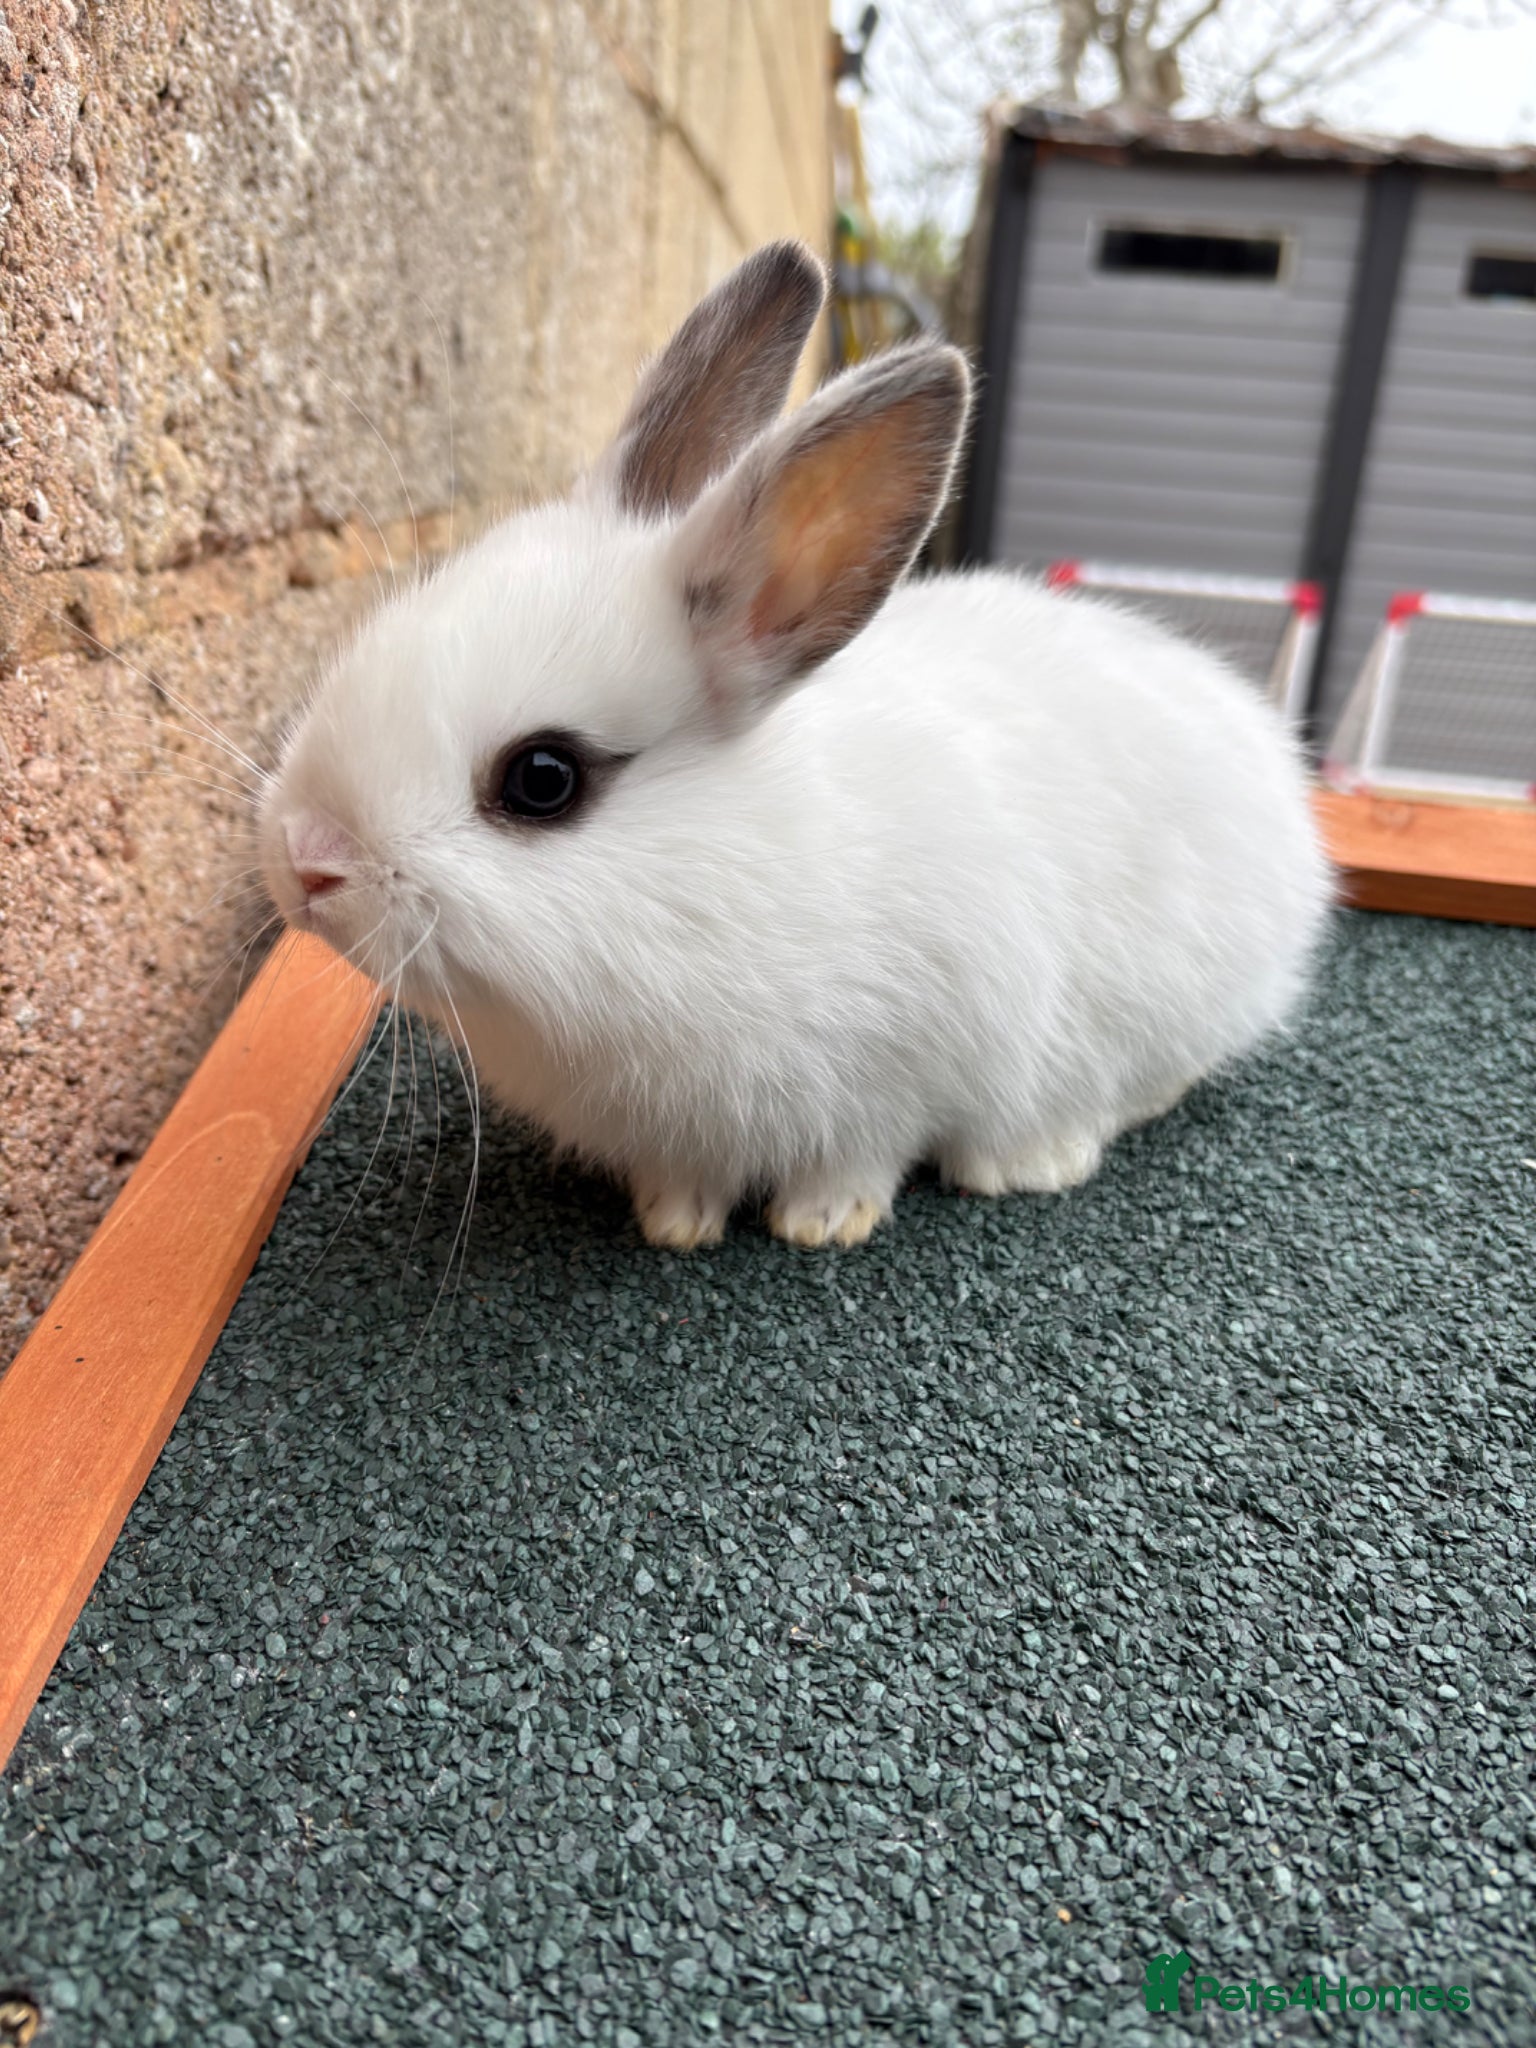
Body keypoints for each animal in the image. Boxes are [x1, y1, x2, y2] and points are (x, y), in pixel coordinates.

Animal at [259, 239, 1333, 1251]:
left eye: (543, 778)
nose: (304, 861)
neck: (726, 882)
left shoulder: (904, 1067)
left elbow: (863, 1155)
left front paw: (820, 1222)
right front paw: (675, 1223)